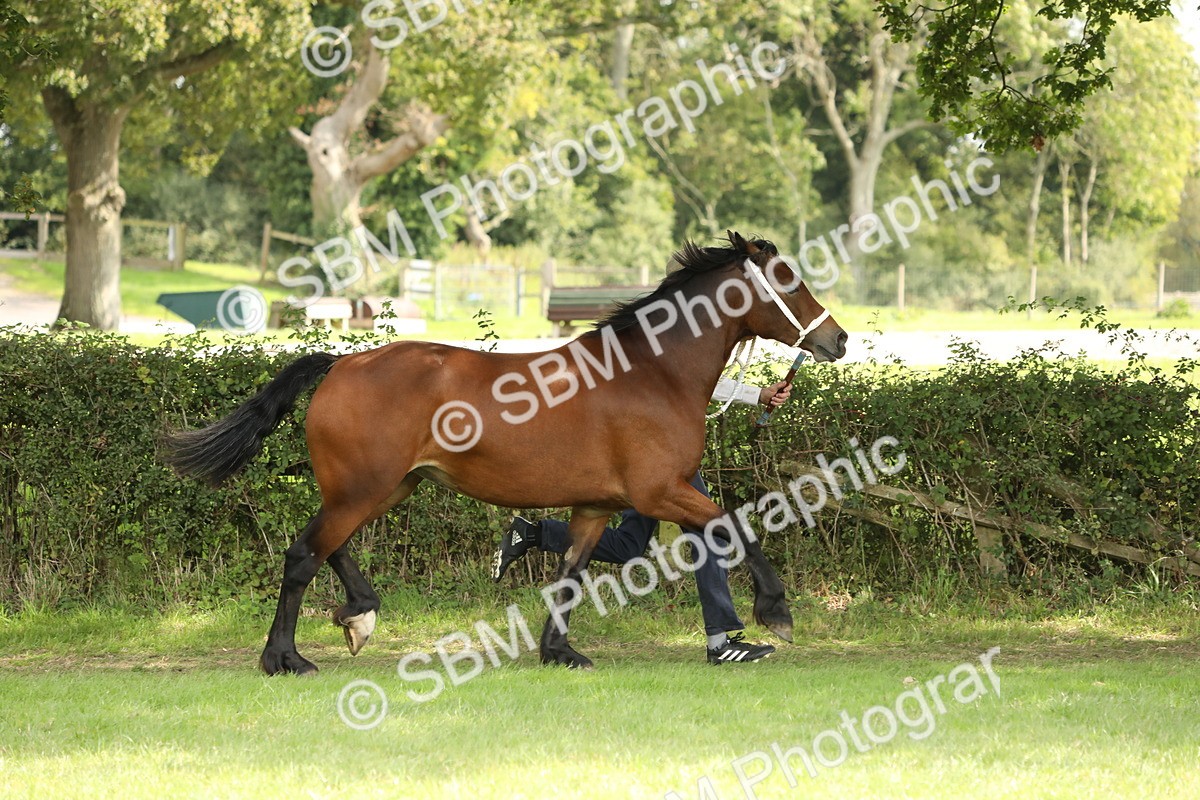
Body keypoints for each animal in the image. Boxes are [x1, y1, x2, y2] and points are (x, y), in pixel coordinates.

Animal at [164, 232, 848, 675]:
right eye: (787, 280)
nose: (838, 339)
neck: (652, 373)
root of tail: (341, 364)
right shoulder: (663, 491)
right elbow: (734, 526)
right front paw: (775, 612)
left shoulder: (596, 507)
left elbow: (570, 575)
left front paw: (559, 652)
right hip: (363, 488)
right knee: (304, 555)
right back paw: (285, 658)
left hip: (387, 487)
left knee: (328, 547)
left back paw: (359, 613)